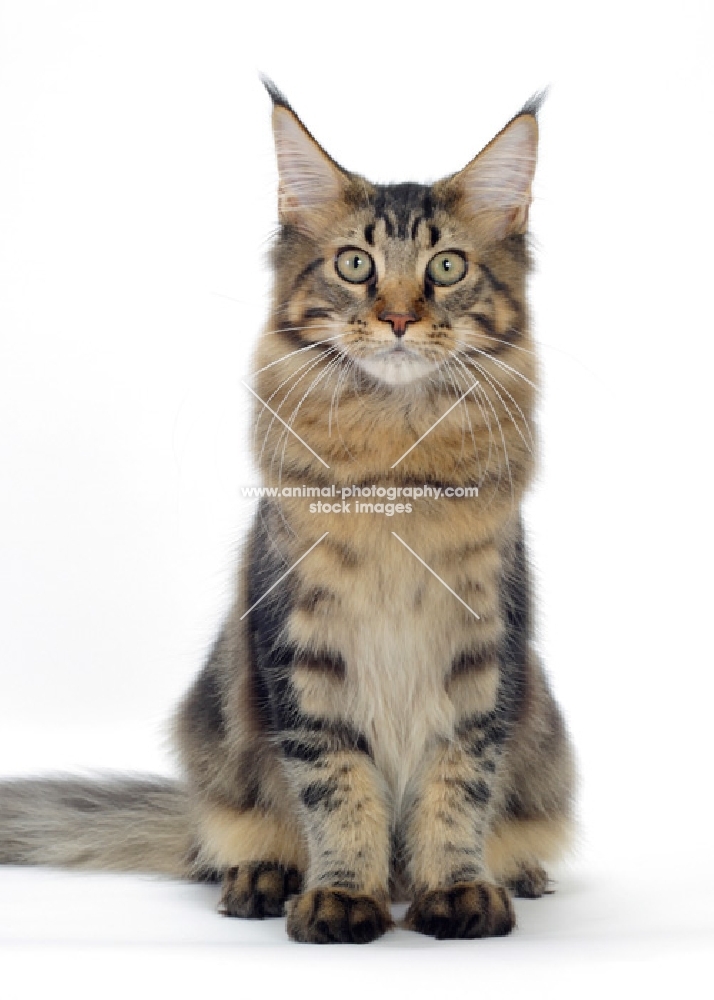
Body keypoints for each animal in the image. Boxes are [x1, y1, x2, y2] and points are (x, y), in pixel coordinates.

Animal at [0, 80, 572, 944]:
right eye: (355, 263)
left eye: (445, 267)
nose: (398, 318)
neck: (393, 465)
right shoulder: (300, 645)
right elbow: (336, 787)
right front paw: (341, 897)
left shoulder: (485, 650)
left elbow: (458, 785)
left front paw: (456, 891)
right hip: (216, 730)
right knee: (232, 833)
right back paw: (263, 877)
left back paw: (516, 874)